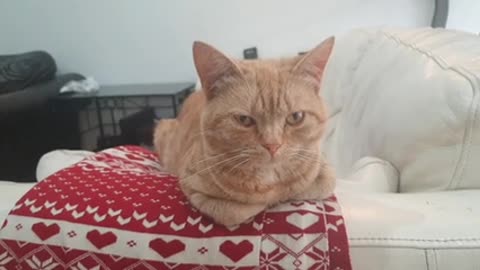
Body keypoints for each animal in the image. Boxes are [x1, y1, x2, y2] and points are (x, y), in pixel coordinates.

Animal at [153, 37, 334, 227]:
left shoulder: (322, 166)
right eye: (244, 119)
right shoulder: (191, 185)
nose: (273, 145)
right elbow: (236, 211)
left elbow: (315, 185)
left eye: (296, 117)